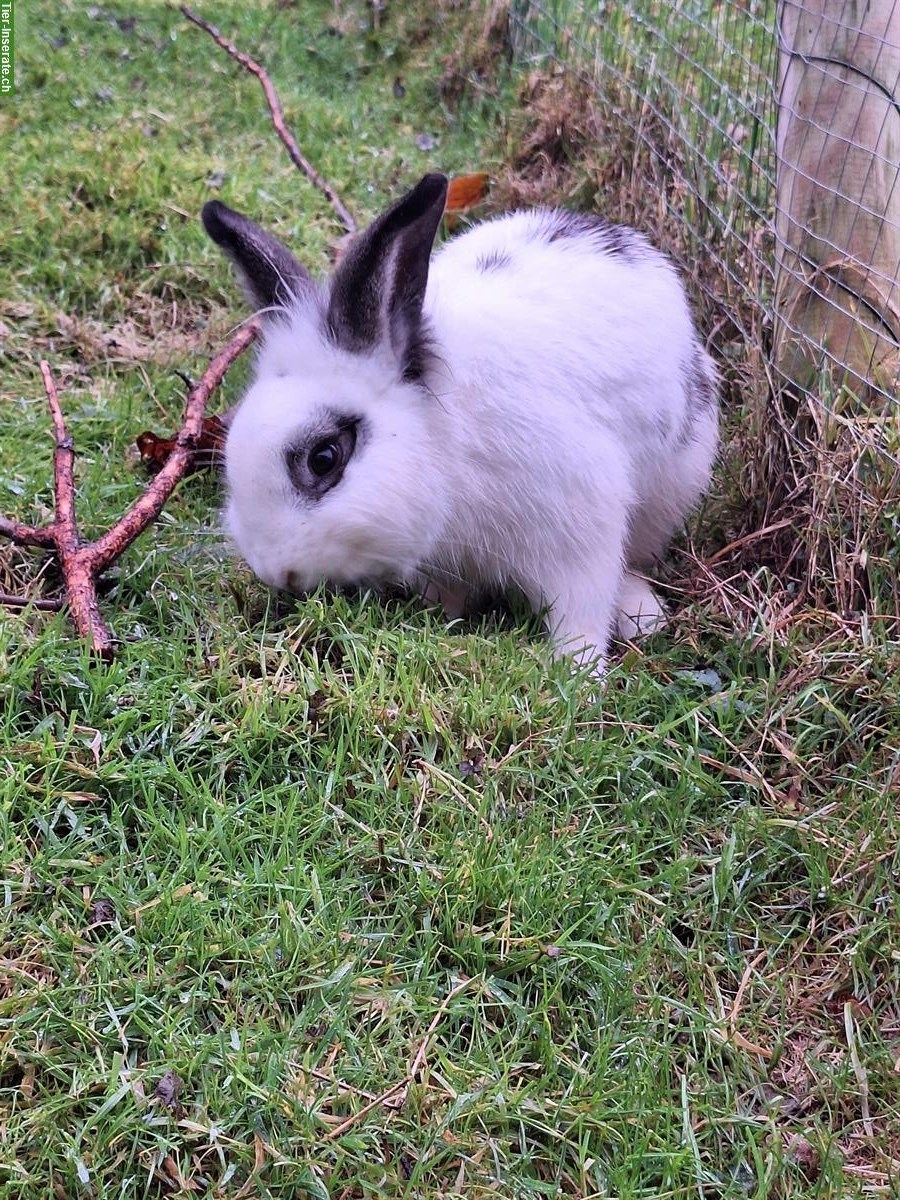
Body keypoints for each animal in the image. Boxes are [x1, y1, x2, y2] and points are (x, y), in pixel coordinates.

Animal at [202, 173, 718, 673]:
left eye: (324, 458)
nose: (275, 571)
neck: (449, 451)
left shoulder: (583, 527)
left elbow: (582, 616)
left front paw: (576, 676)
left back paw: (642, 614)